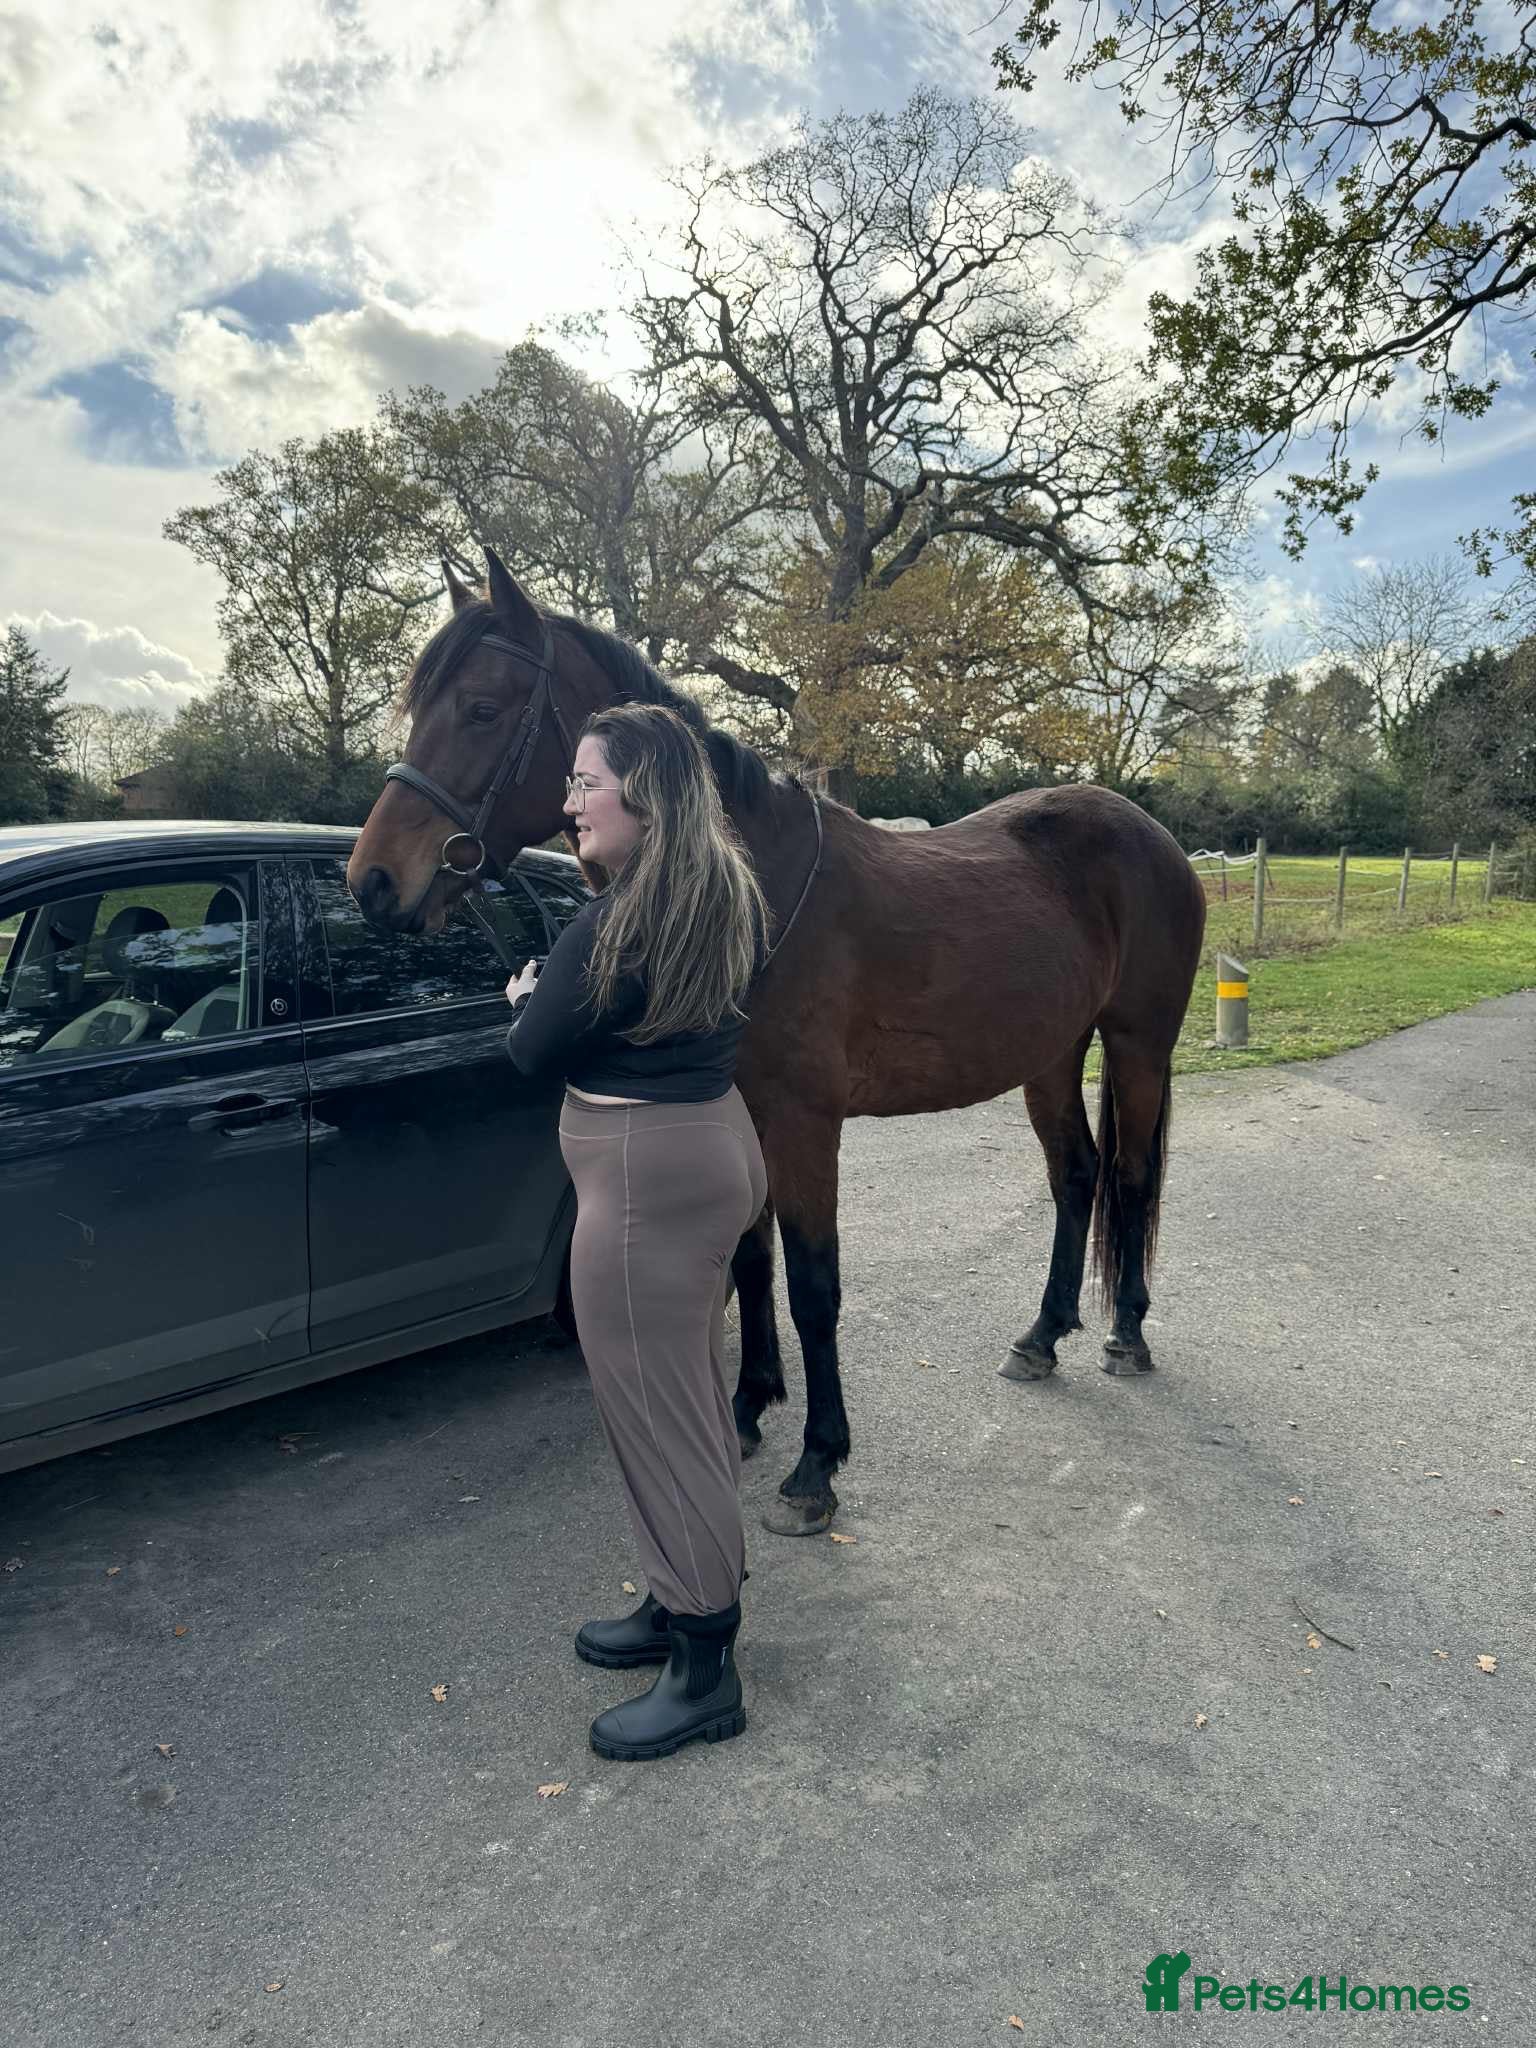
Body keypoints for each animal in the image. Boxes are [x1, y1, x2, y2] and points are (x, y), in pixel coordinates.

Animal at [349, 550, 1207, 1536]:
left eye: (483, 709)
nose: (372, 880)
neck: (745, 891)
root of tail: (1153, 836)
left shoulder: (805, 1123)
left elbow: (813, 1285)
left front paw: (817, 1465)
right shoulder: (740, 1112)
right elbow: (752, 1263)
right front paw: (747, 1411)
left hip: (1137, 1044)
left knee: (1131, 1178)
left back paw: (1127, 1333)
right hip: (1051, 1055)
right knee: (1076, 1175)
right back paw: (1042, 1335)